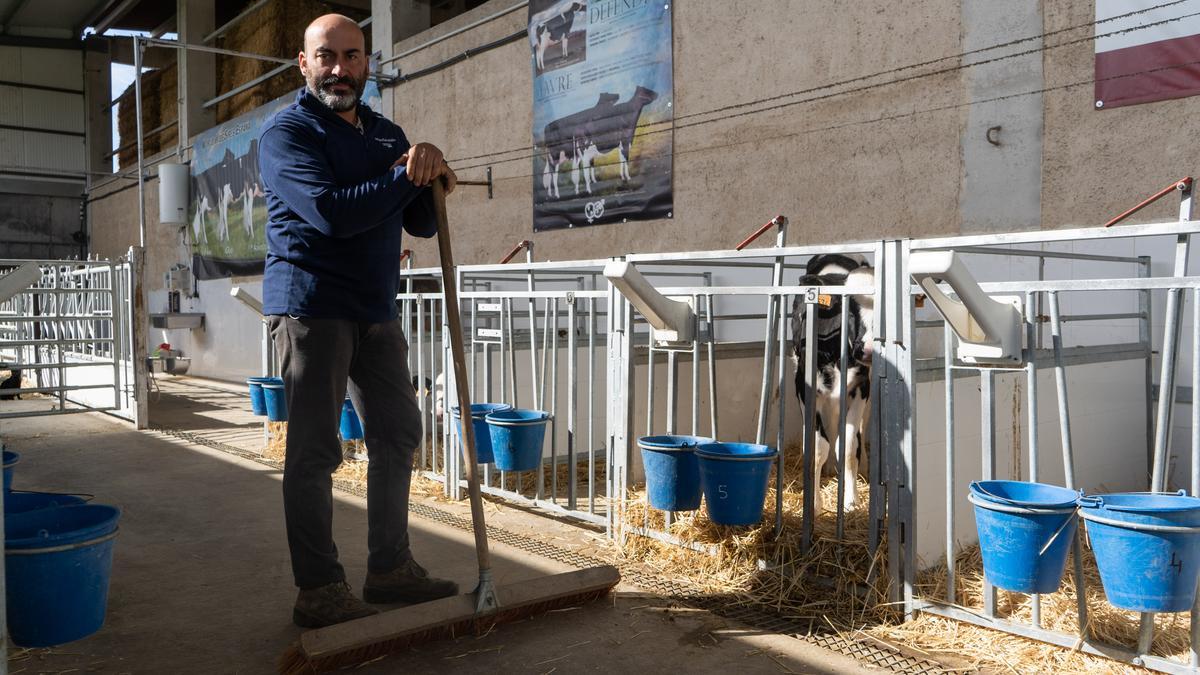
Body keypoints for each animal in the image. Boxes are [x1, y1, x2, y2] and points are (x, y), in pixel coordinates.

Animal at [792, 252, 878, 509]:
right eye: (849, 309)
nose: (868, 351)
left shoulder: (861, 387)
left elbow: (848, 446)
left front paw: (851, 501)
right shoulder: (804, 387)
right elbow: (818, 448)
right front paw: (815, 504)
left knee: (858, 431)